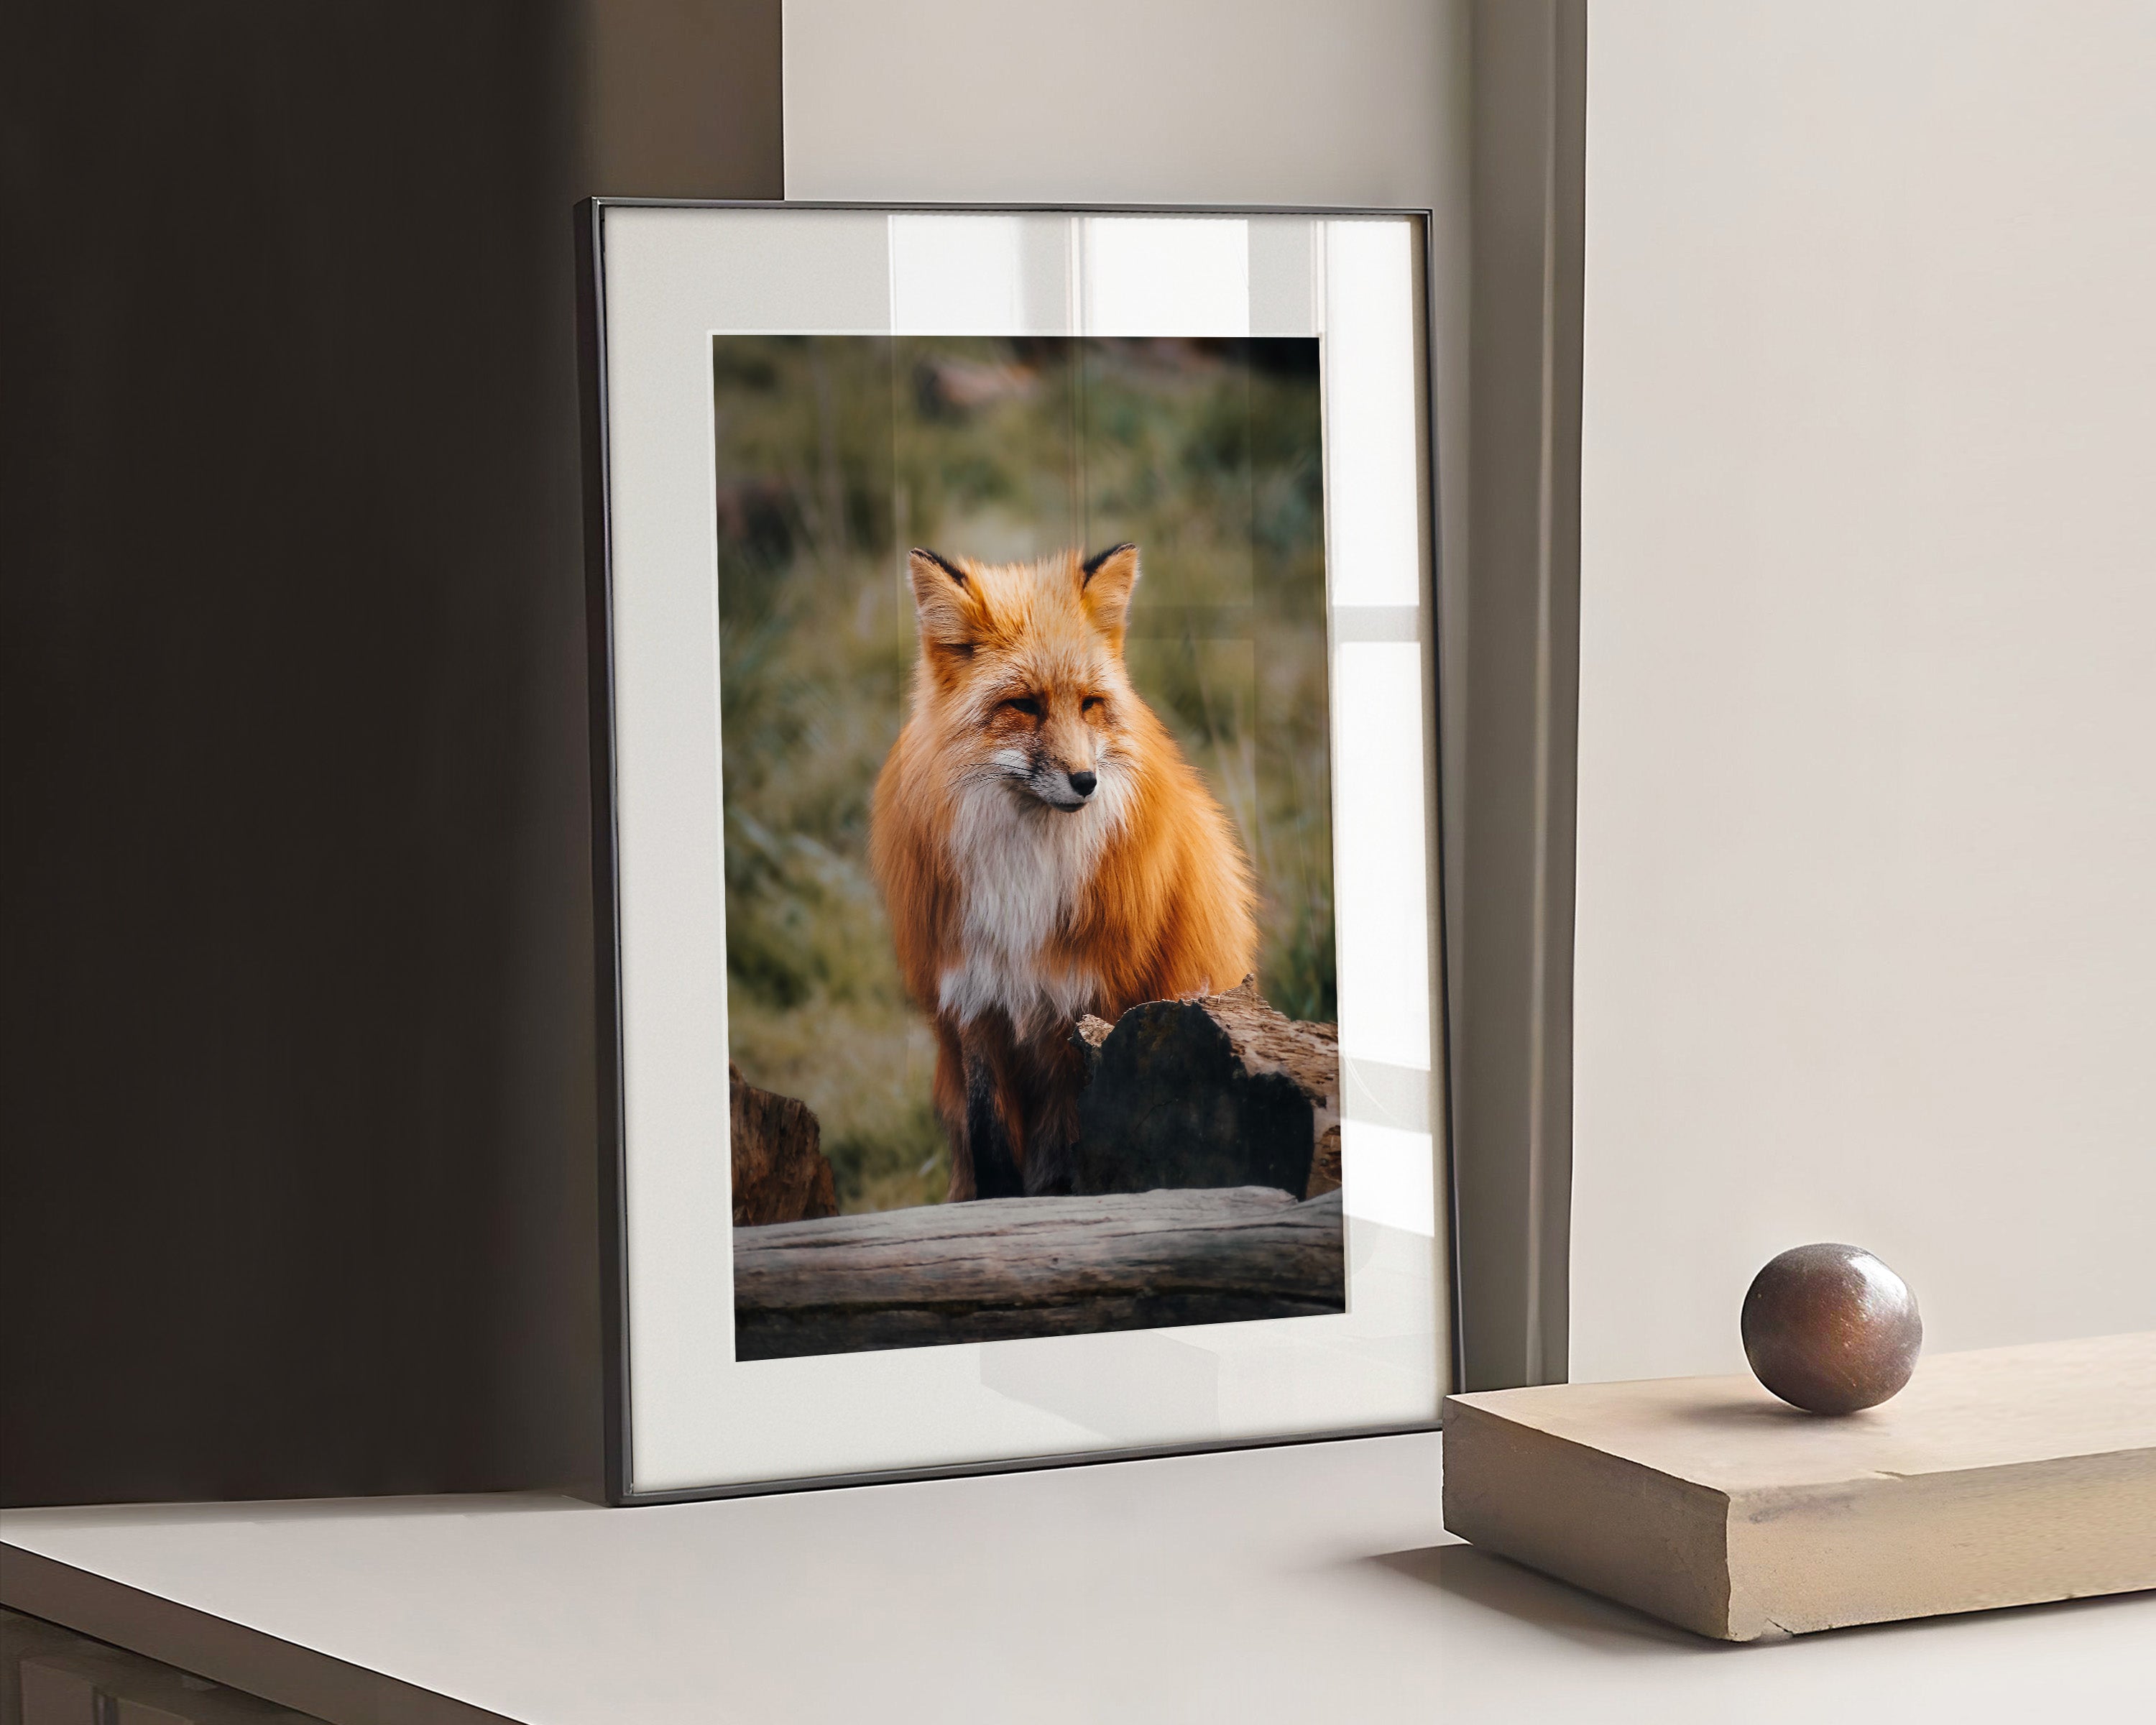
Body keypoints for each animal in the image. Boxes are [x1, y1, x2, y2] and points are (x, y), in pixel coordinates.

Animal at [867, 546, 1259, 1190]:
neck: (1024, 879)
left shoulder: (1085, 1012)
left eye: (1090, 704)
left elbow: (1066, 1159)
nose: (1086, 782)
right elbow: (992, 1148)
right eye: (1024, 705)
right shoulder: (976, 1001)